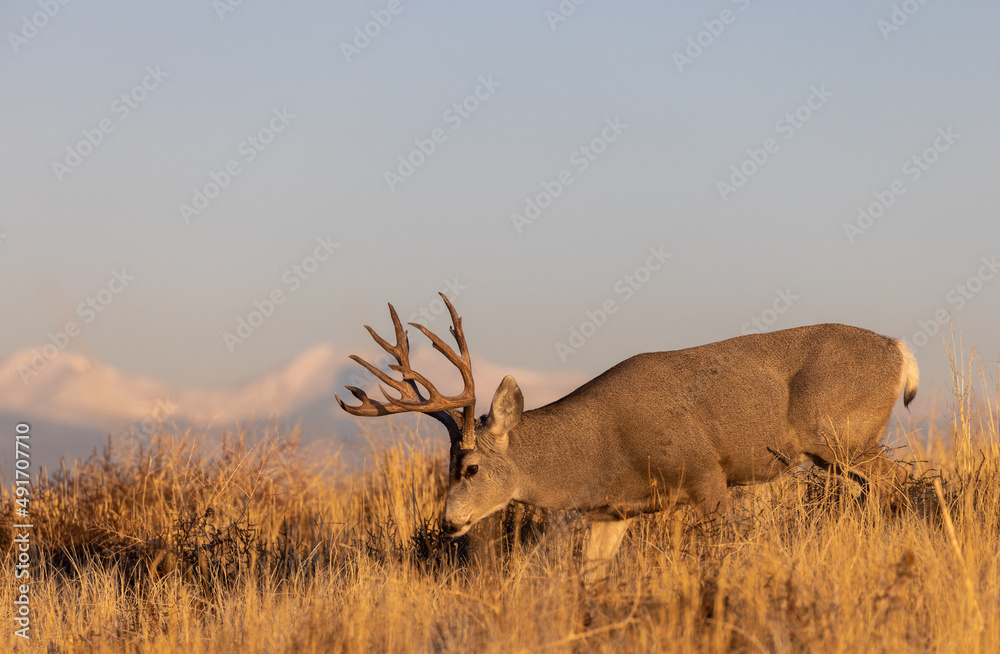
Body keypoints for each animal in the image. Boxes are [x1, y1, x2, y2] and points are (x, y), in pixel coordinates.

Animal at [337, 294, 917, 577]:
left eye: (471, 468)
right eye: (446, 469)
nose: (448, 522)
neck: (601, 449)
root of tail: (900, 349)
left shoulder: (706, 472)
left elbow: (726, 550)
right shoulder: (610, 512)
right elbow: (590, 576)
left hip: (843, 437)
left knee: (897, 481)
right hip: (836, 453)